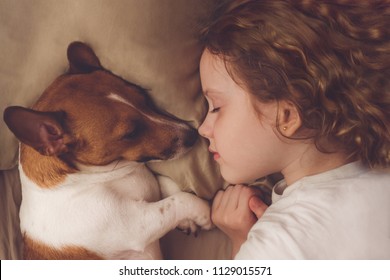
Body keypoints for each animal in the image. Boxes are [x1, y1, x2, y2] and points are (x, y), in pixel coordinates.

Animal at [2, 41, 213, 260]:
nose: (193, 134)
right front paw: (204, 213)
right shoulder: (136, 224)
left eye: (144, 98)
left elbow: (168, 185)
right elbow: (179, 201)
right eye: (131, 132)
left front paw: (188, 221)